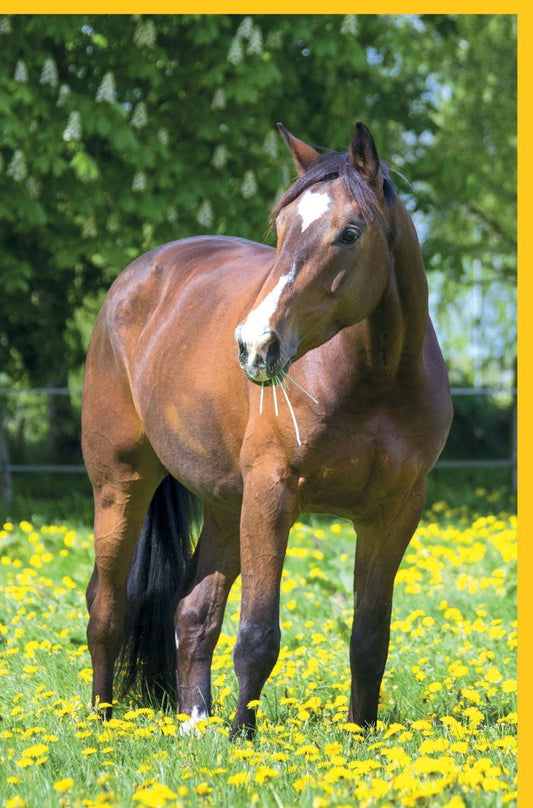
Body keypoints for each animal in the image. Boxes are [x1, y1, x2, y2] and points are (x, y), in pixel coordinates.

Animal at [82, 120, 452, 738]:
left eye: (350, 233)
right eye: (281, 230)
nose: (255, 345)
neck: (373, 380)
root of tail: (133, 281)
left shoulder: (393, 514)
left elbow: (369, 639)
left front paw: (360, 736)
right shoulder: (273, 495)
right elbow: (257, 634)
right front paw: (243, 739)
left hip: (227, 506)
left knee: (192, 612)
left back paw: (195, 724)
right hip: (122, 485)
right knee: (106, 608)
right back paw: (101, 724)